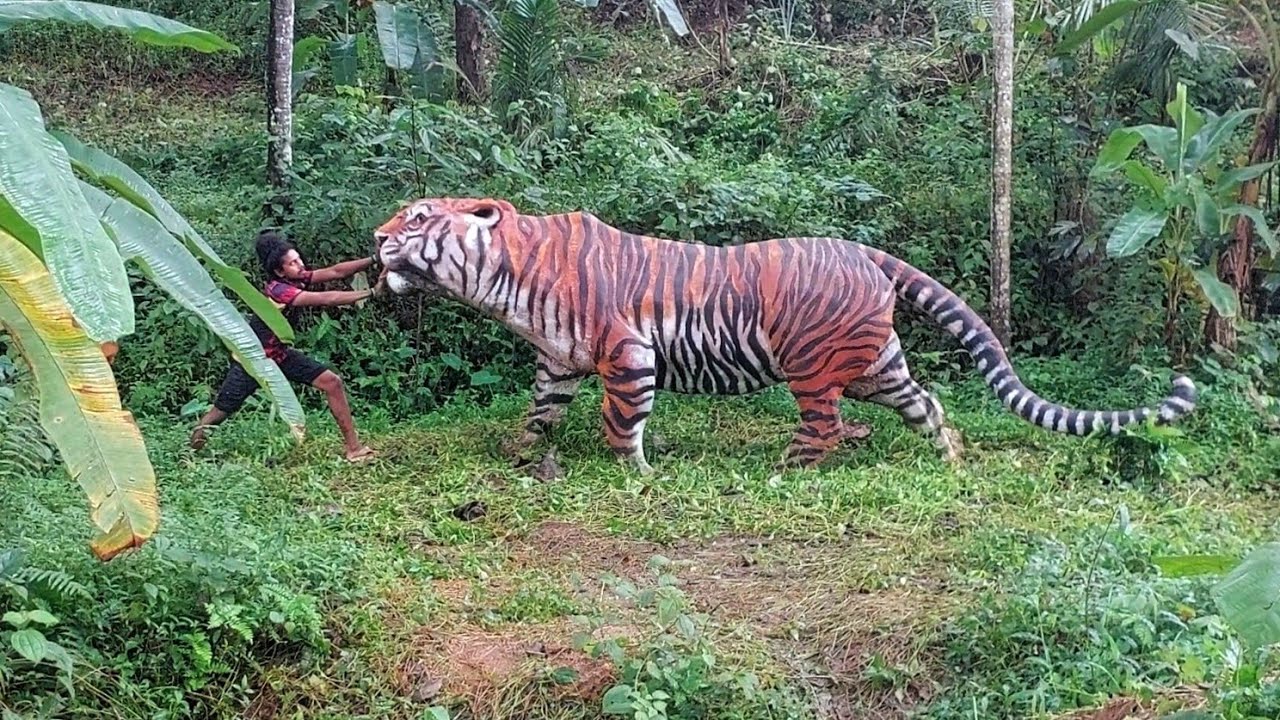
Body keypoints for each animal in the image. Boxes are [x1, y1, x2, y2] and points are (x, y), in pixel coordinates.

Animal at [373, 197, 1197, 474]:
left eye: (418, 218)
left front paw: (636, 476)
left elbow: (621, 423)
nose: (377, 239)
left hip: (813, 366)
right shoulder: (559, 362)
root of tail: (867, 250)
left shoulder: (627, 354)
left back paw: (784, 472)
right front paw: (521, 452)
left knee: (824, 428)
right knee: (927, 403)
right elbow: (540, 412)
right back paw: (950, 459)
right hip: (875, 362)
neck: (506, 277)